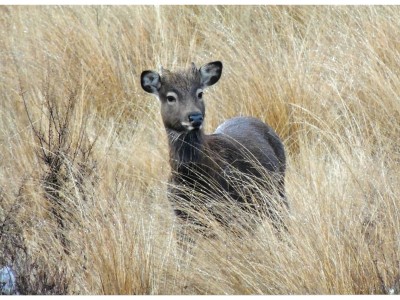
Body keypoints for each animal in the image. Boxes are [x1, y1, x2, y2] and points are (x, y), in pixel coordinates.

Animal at [141, 61, 288, 234]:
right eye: (170, 97)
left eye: (200, 93)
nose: (195, 117)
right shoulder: (182, 213)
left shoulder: (230, 207)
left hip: (276, 189)